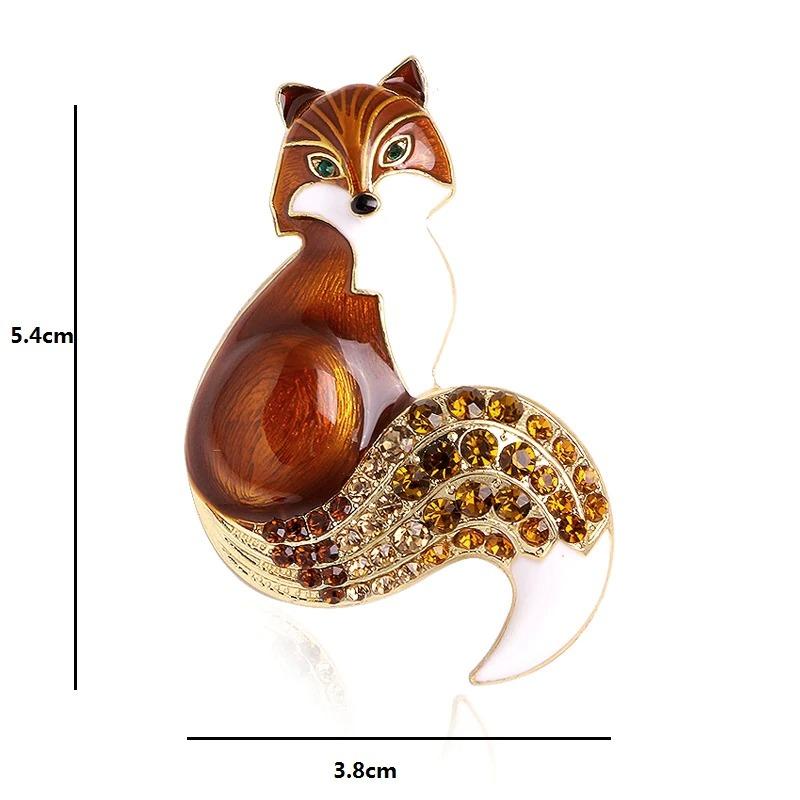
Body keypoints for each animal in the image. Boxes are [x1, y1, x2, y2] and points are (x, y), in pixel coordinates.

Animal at [186, 58, 613, 683]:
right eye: (324, 166)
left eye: (396, 150)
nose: (364, 202)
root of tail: (216, 494)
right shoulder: (394, 361)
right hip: (318, 369)